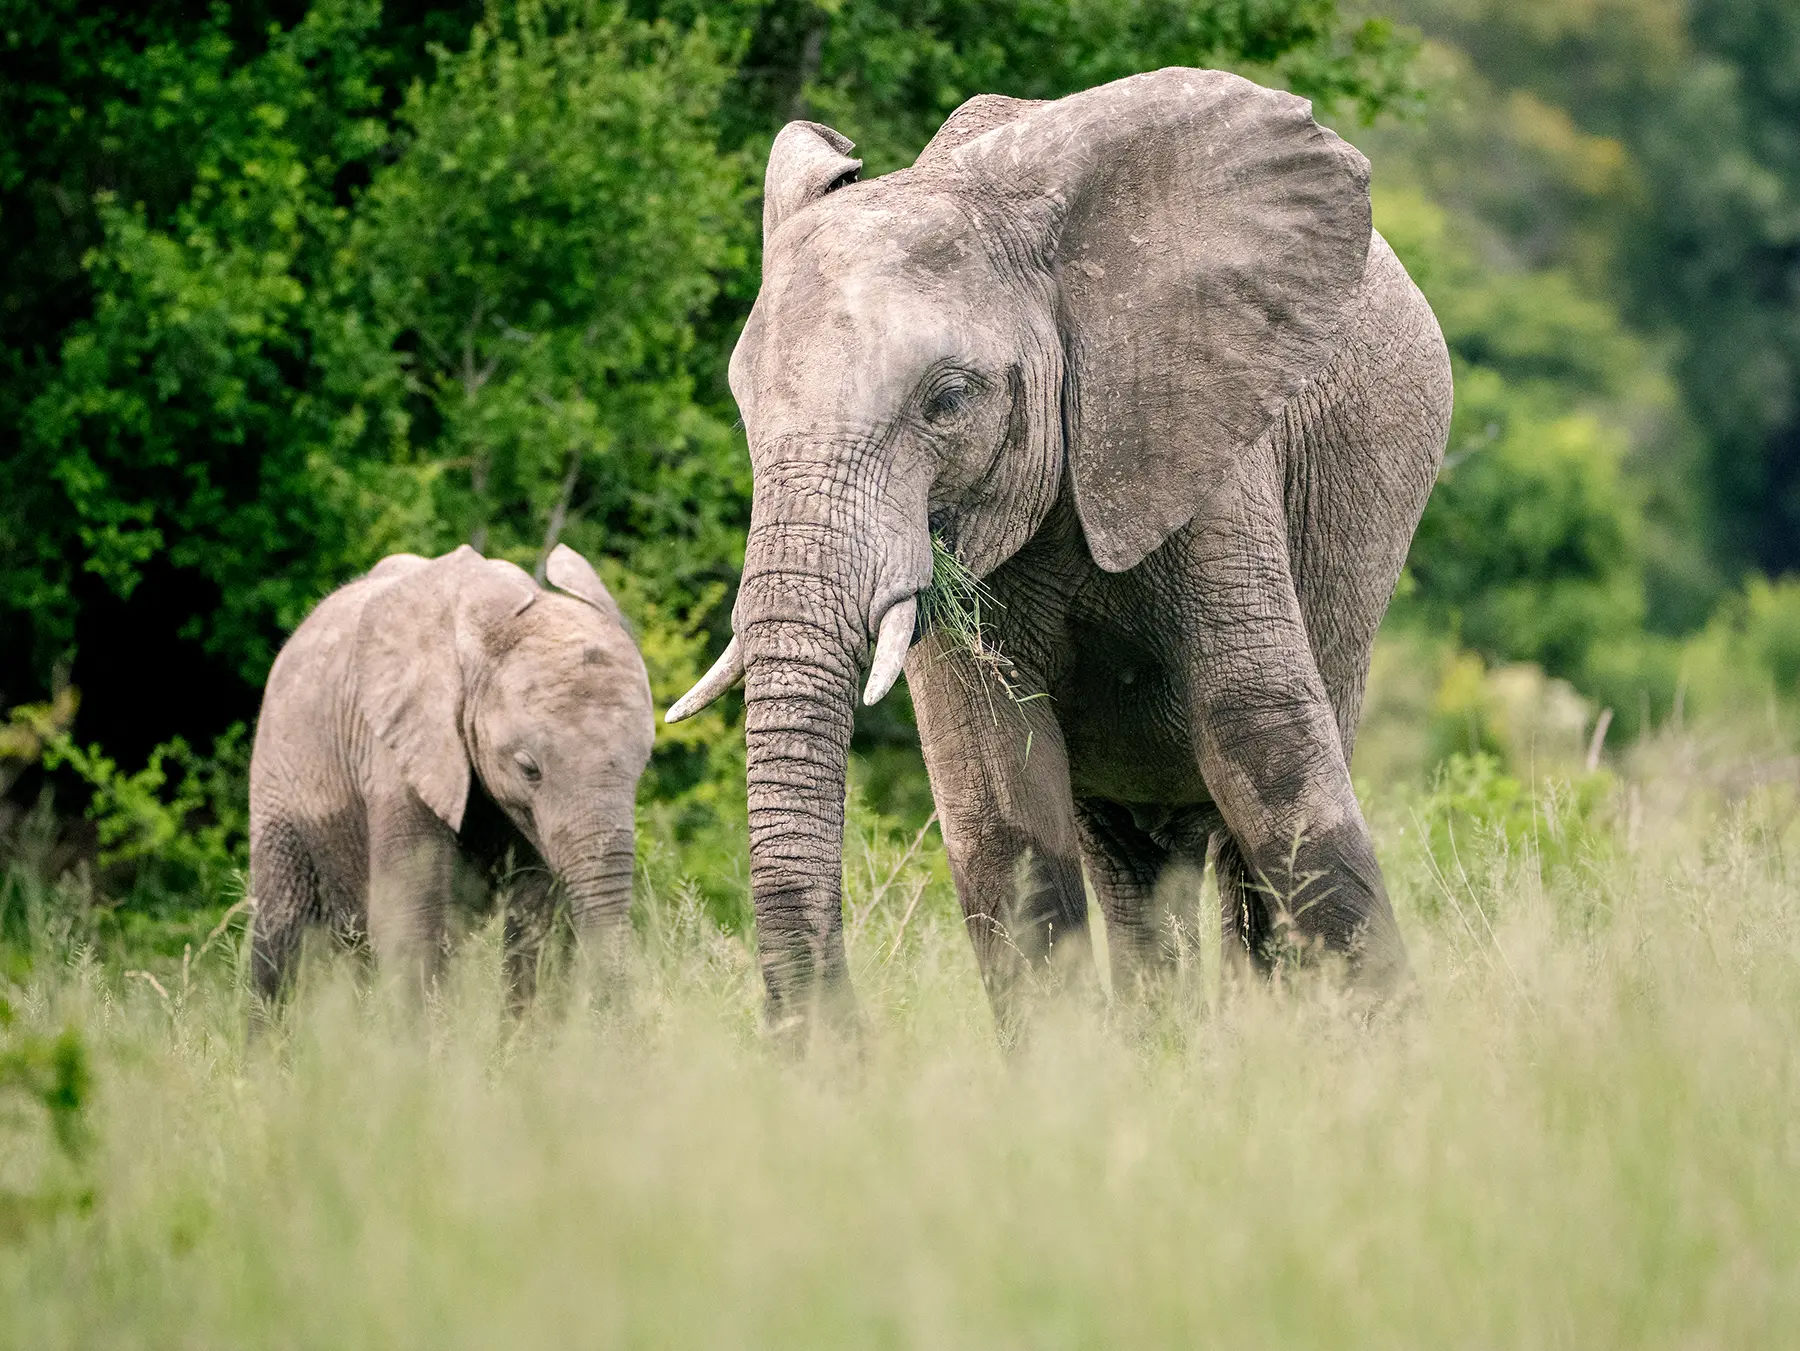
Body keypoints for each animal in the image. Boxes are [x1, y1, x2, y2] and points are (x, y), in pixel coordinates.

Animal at [248, 543, 654, 1003]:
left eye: (643, 763)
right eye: (529, 769)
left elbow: (532, 920)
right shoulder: (398, 753)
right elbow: (412, 920)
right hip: (276, 773)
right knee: (280, 931)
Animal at [667, 67, 1453, 1039]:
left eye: (948, 399)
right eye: (743, 404)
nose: (839, 1042)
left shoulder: (1200, 426)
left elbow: (1262, 736)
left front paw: (1388, 1044)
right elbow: (997, 795)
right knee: (1130, 855)